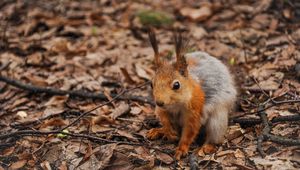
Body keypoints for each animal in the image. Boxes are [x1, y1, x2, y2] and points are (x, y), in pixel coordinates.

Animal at [146, 28, 238, 159]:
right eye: (151, 84)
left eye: (176, 85)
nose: (159, 102)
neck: (175, 104)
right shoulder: (161, 109)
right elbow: (163, 118)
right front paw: (168, 131)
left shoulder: (194, 110)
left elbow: (190, 131)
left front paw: (181, 149)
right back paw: (159, 131)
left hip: (217, 120)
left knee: (215, 137)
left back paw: (206, 146)